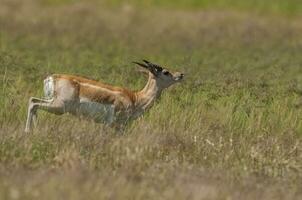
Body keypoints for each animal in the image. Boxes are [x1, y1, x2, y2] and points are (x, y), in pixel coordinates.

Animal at [24, 60, 184, 132]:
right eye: (165, 72)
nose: (181, 74)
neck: (135, 98)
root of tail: (53, 77)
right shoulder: (113, 124)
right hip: (60, 107)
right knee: (33, 103)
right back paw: (28, 131)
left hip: (53, 102)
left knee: (33, 101)